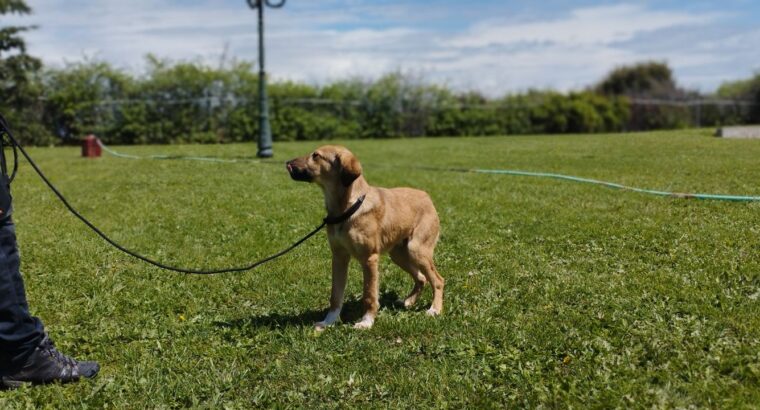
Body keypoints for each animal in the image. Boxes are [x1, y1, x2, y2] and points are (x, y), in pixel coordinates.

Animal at [290, 146, 446, 328]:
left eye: (316, 156)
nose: (287, 163)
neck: (347, 208)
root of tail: (426, 196)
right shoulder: (339, 257)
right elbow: (335, 296)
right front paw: (328, 322)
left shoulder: (369, 259)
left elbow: (369, 295)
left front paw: (366, 322)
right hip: (399, 254)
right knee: (421, 278)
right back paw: (408, 301)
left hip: (417, 250)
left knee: (438, 280)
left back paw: (434, 309)